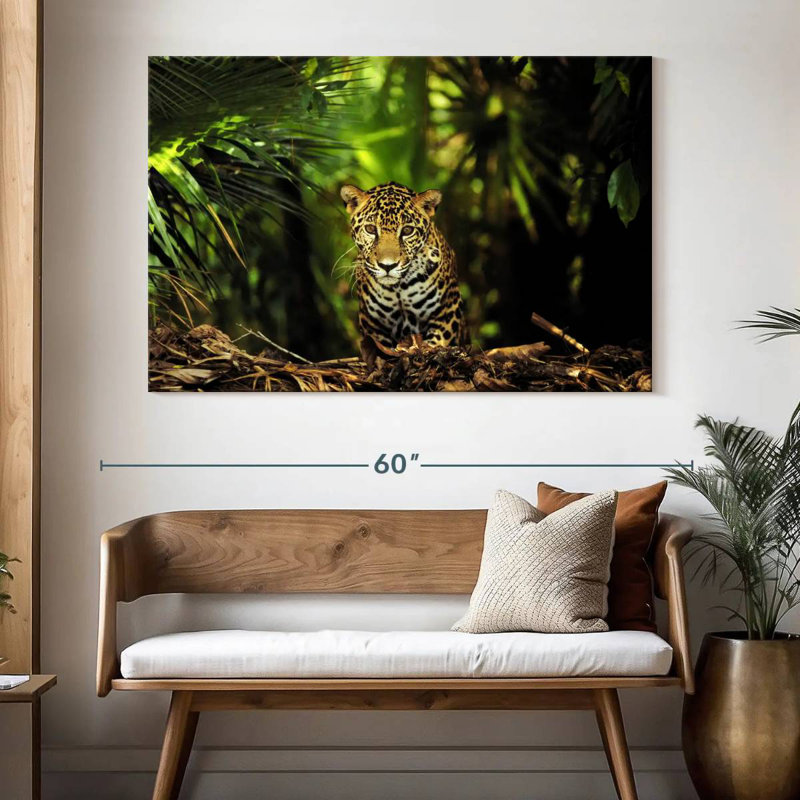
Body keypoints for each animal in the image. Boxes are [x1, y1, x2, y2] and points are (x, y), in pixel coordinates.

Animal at [340, 182, 469, 353]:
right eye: (370, 229)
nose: (387, 265)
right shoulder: (372, 324)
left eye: (407, 230)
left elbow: (436, 342)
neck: (399, 288)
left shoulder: (448, 310)